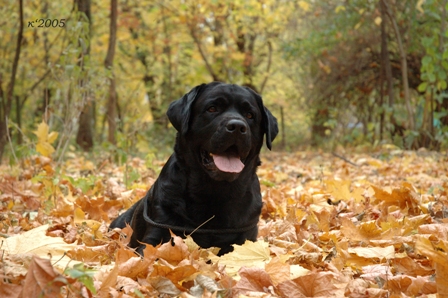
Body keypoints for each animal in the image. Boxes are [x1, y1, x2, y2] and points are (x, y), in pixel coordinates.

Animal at [109, 82, 276, 255]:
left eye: (250, 115)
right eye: (212, 108)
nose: (237, 126)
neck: (215, 193)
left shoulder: (245, 238)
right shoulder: (156, 235)